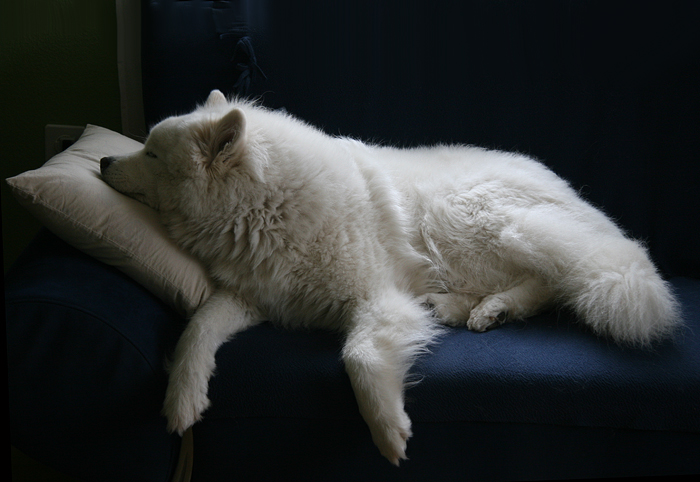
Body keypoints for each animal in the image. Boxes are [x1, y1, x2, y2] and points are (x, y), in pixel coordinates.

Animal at [101, 89, 680, 464]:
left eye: (151, 152)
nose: (104, 160)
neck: (267, 206)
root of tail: (573, 197)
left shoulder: (377, 297)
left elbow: (358, 354)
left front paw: (386, 428)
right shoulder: (254, 297)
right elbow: (197, 328)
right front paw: (183, 398)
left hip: (478, 218)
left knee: (557, 278)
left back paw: (479, 306)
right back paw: (472, 308)